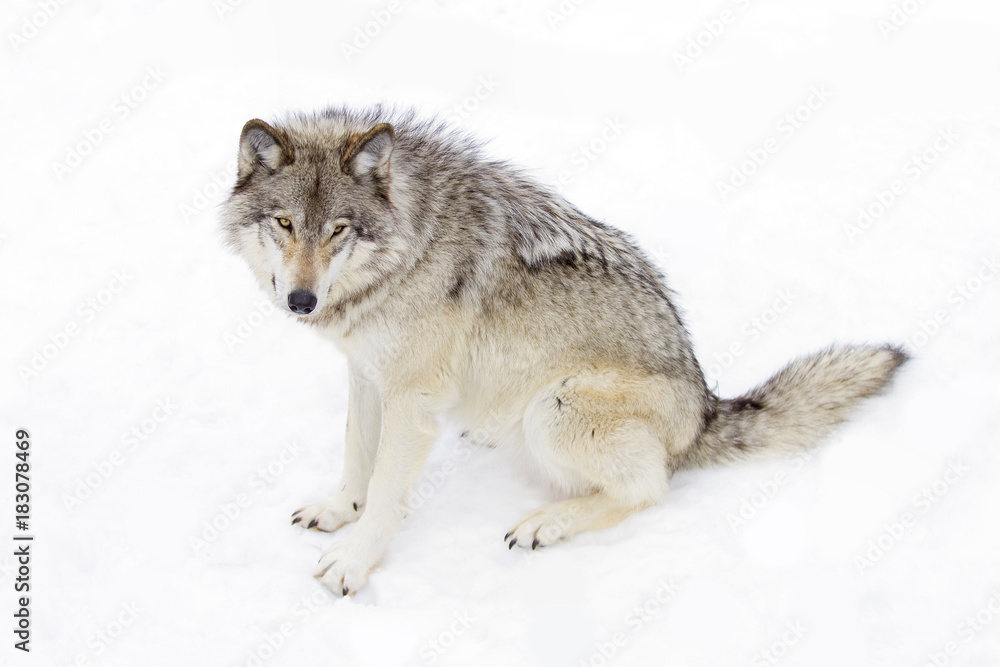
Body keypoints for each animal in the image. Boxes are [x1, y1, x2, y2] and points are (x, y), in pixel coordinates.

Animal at [221, 106, 907, 595]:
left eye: (338, 230)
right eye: (284, 223)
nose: (301, 301)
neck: (405, 249)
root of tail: (707, 406)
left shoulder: (409, 398)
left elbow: (387, 490)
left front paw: (354, 563)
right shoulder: (366, 375)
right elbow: (356, 457)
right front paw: (340, 511)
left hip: (555, 409)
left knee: (651, 486)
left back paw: (544, 524)